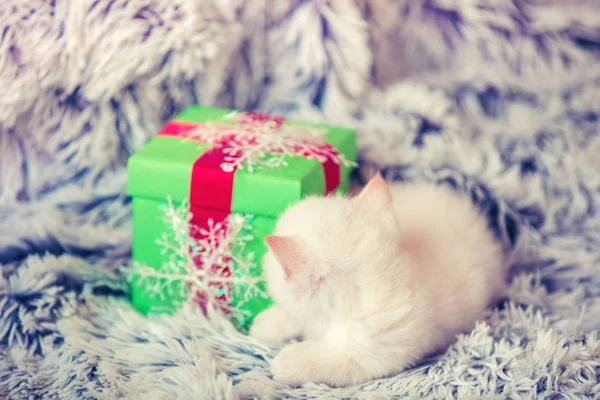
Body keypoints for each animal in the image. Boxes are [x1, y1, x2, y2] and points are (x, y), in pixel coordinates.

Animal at [250, 173, 510, 386]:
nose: (263, 258)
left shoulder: (379, 354)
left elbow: (338, 361)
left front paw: (290, 362)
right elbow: (299, 317)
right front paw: (270, 322)